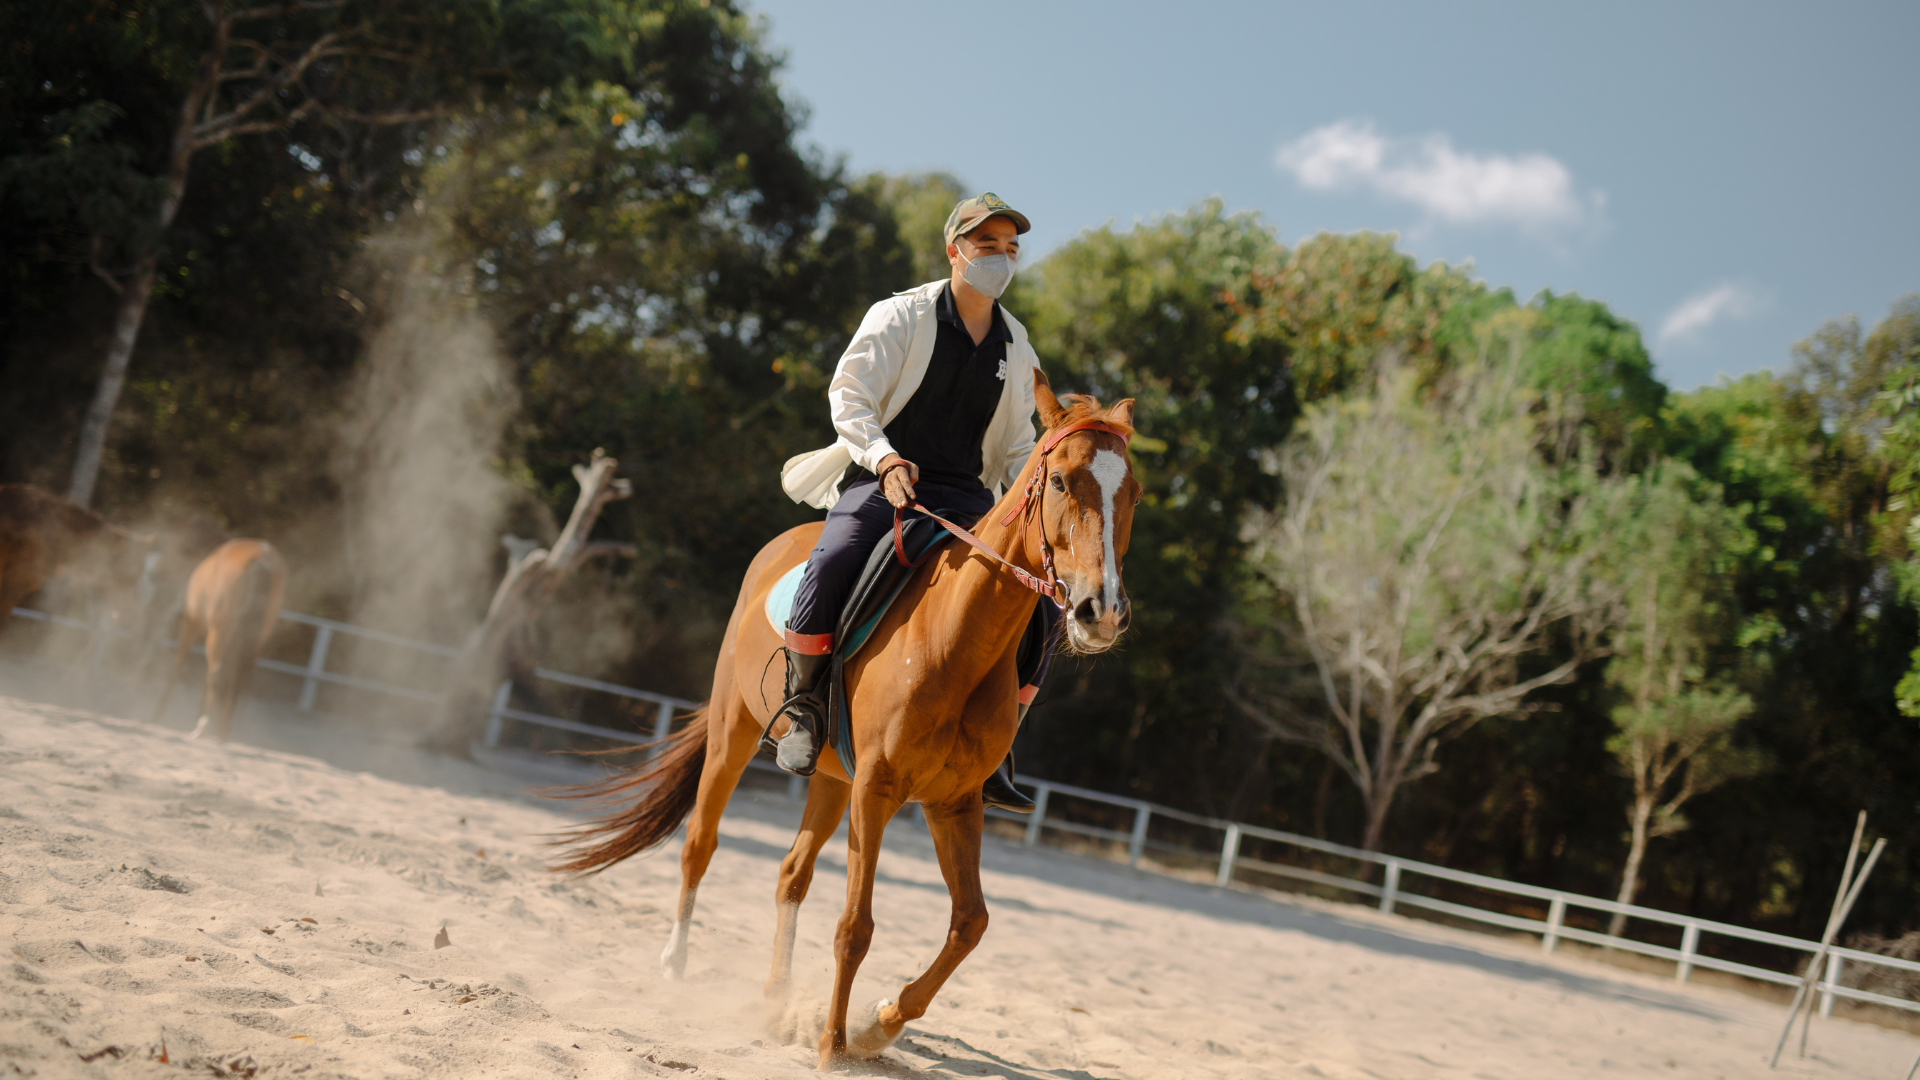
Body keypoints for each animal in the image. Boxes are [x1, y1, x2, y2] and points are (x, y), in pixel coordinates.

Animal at [149, 539, 289, 742]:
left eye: (173, 545)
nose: (154, 573)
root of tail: (262, 558)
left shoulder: (190, 625)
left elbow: (176, 668)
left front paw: (155, 715)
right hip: (252, 639)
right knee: (239, 680)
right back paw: (224, 732)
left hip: (218, 634)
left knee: (217, 676)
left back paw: (206, 727)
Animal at [553, 371, 1139, 1069]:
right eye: (1060, 483)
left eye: (1131, 492)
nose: (1100, 611)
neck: (952, 636)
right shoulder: (878, 790)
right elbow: (856, 925)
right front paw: (834, 1044)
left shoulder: (953, 801)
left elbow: (970, 923)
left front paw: (878, 1024)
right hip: (734, 732)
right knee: (701, 841)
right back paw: (676, 964)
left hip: (833, 781)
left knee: (792, 873)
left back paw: (775, 999)